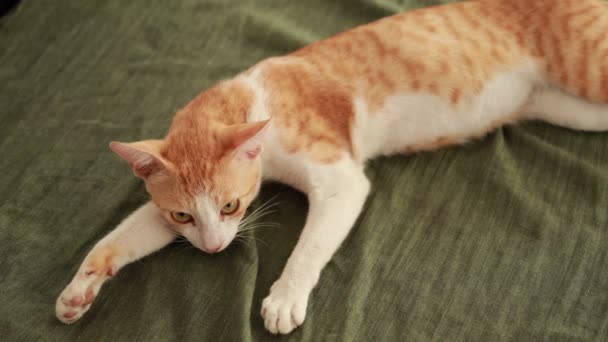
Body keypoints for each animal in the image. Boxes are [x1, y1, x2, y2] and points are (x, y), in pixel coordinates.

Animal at [54, 0, 608, 336]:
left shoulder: (340, 176)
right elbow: (122, 237)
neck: (254, 100)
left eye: (230, 205)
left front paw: (284, 297)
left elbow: (310, 246)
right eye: (183, 217)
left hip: (589, 68)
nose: (212, 248)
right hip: (567, 107)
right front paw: (79, 290)